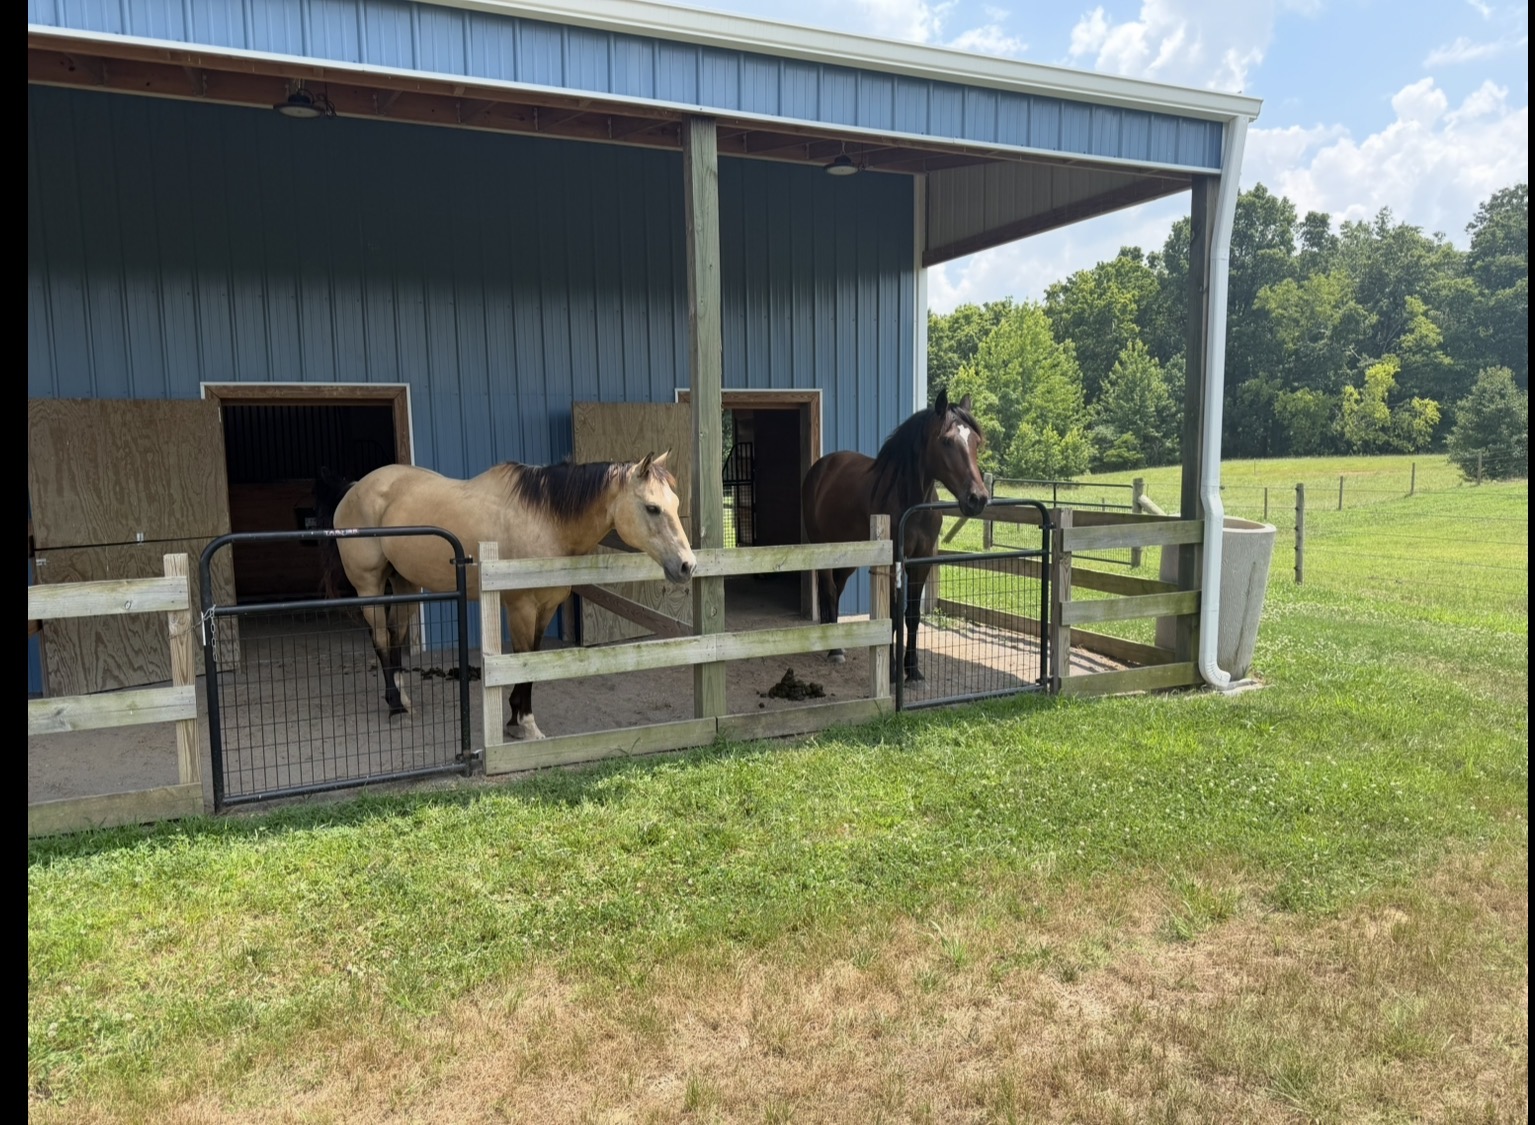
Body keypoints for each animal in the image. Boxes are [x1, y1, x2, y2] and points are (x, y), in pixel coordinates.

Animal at [315, 453, 695, 740]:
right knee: (380, 639)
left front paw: (516, 718)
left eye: (674, 503)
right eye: (652, 508)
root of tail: (355, 488)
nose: (687, 565)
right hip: (369, 585)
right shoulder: (521, 607)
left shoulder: (545, 607)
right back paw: (394, 705)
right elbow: (523, 660)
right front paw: (524, 723)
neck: (544, 518)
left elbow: (534, 659)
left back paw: (404, 700)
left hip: (405, 583)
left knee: (396, 636)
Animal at [801, 387, 989, 684]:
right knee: (829, 592)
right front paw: (890, 670)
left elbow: (911, 615)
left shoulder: (921, 561)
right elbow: (890, 612)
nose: (977, 498)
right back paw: (835, 650)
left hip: (849, 556)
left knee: (837, 591)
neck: (910, 502)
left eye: (976, 442)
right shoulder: (891, 563)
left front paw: (913, 670)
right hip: (824, 549)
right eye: (947, 441)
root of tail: (820, 469)